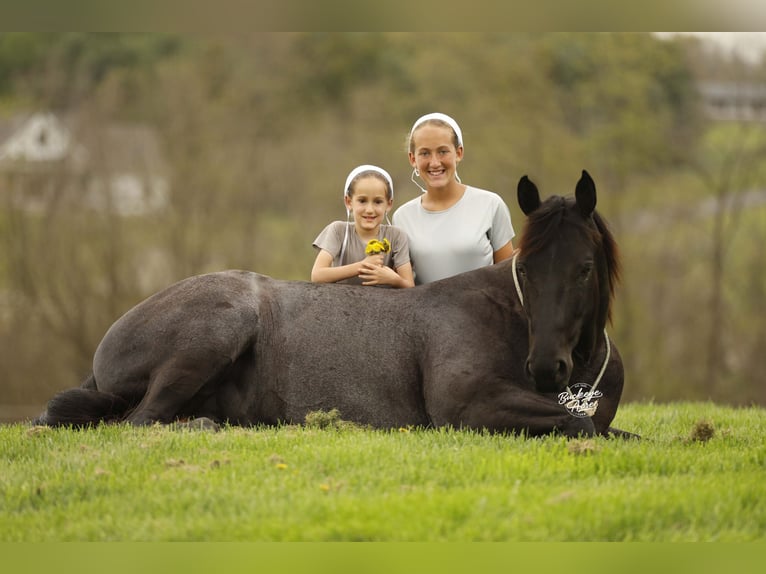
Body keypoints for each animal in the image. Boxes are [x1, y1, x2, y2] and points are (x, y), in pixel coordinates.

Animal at [34, 170, 633, 438]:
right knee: (141, 421)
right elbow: (585, 427)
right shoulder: (467, 408)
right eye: (525, 269)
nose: (547, 366)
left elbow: (606, 427)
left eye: (584, 267)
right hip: (212, 333)